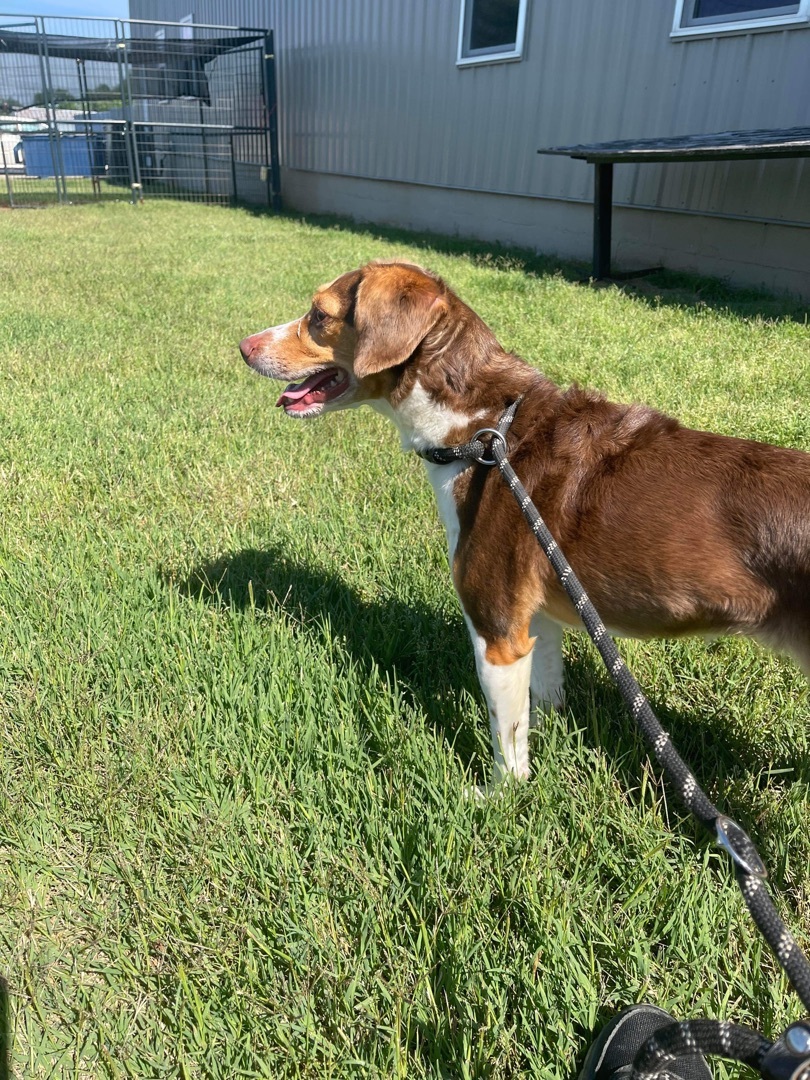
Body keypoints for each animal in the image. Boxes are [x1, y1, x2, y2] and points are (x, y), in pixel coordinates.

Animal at [240, 261, 810, 786]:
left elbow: (507, 746)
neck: (483, 432)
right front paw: (559, 736)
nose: (243, 346)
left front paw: (497, 799)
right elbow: (547, 692)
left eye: (318, 316)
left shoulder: (497, 634)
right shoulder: (538, 615)